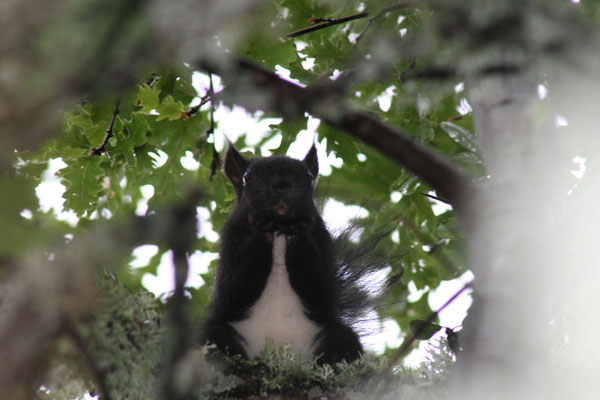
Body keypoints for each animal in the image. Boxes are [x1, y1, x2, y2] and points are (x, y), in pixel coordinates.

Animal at [200, 145, 376, 366]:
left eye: (309, 177)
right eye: (247, 177)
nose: (281, 186)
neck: (280, 234)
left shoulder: (322, 240)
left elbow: (321, 291)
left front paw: (298, 228)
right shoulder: (230, 241)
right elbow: (232, 290)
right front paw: (261, 226)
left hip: (335, 336)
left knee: (341, 342)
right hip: (218, 333)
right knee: (215, 337)